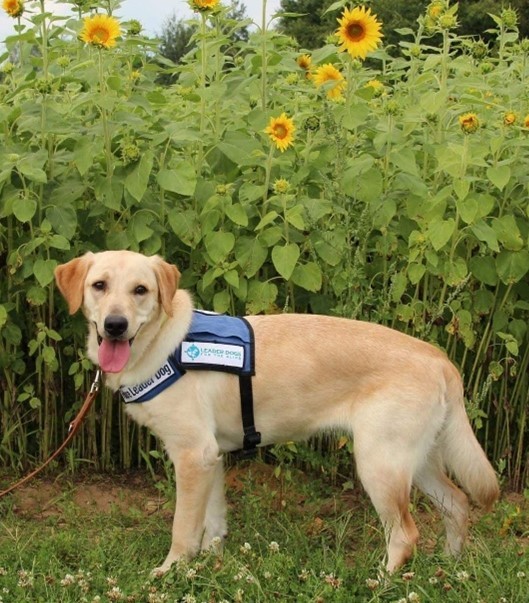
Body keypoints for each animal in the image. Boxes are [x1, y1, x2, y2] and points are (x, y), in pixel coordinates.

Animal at [55, 250, 498, 576]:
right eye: (99, 285)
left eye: (141, 290)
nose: (115, 325)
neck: (164, 343)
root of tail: (439, 358)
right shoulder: (212, 458)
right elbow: (213, 523)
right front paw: (214, 565)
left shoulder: (192, 456)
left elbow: (183, 528)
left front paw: (171, 571)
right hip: (415, 460)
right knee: (458, 503)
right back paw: (450, 567)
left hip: (379, 464)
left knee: (405, 534)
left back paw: (381, 581)